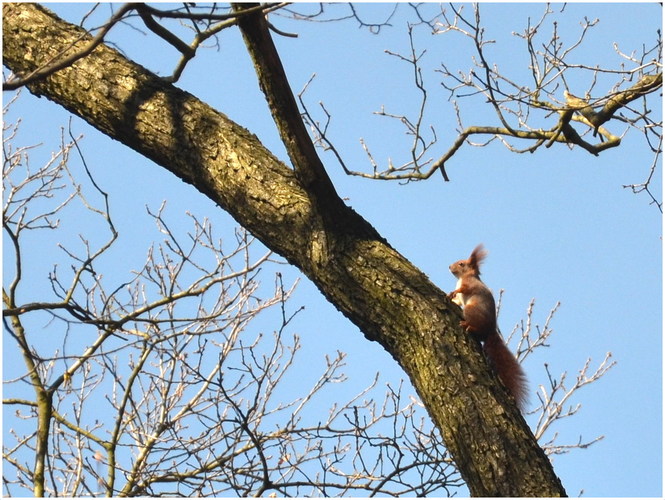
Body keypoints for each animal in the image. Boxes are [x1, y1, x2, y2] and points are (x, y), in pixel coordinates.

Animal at [446, 243, 528, 410]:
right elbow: (457, 300)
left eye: (462, 264)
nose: (449, 266)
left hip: (470, 310)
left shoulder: (470, 285)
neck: (463, 277)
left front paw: (454, 291)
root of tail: (491, 330)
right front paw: (449, 295)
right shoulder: (461, 297)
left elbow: (463, 290)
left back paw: (468, 325)